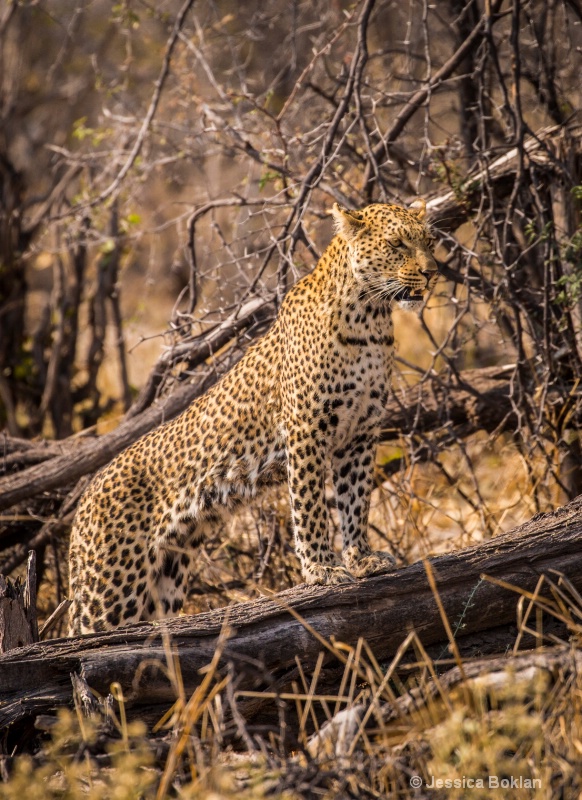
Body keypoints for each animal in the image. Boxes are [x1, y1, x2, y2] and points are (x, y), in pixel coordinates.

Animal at [68, 202, 440, 636]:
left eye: (429, 242)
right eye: (397, 244)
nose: (432, 272)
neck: (370, 319)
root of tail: (82, 505)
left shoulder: (360, 433)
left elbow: (356, 500)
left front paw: (363, 559)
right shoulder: (306, 428)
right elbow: (310, 505)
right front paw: (322, 568)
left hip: (167, 575)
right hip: (112, 586)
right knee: (87, 636)